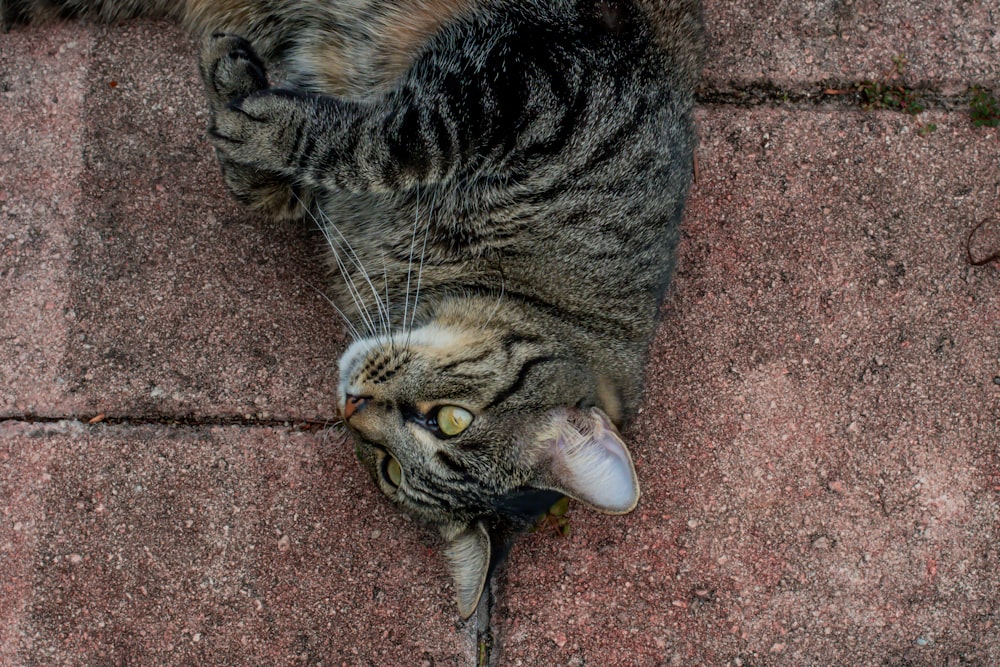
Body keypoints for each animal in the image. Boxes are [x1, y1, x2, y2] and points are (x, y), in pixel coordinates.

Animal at [1, 0, 704, 620]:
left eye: (387, 467)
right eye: (451, 419)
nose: (353, 406)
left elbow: (293, 175)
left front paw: (239, 102)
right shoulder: (528, 80)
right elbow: (378, 146)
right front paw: (246, 103)